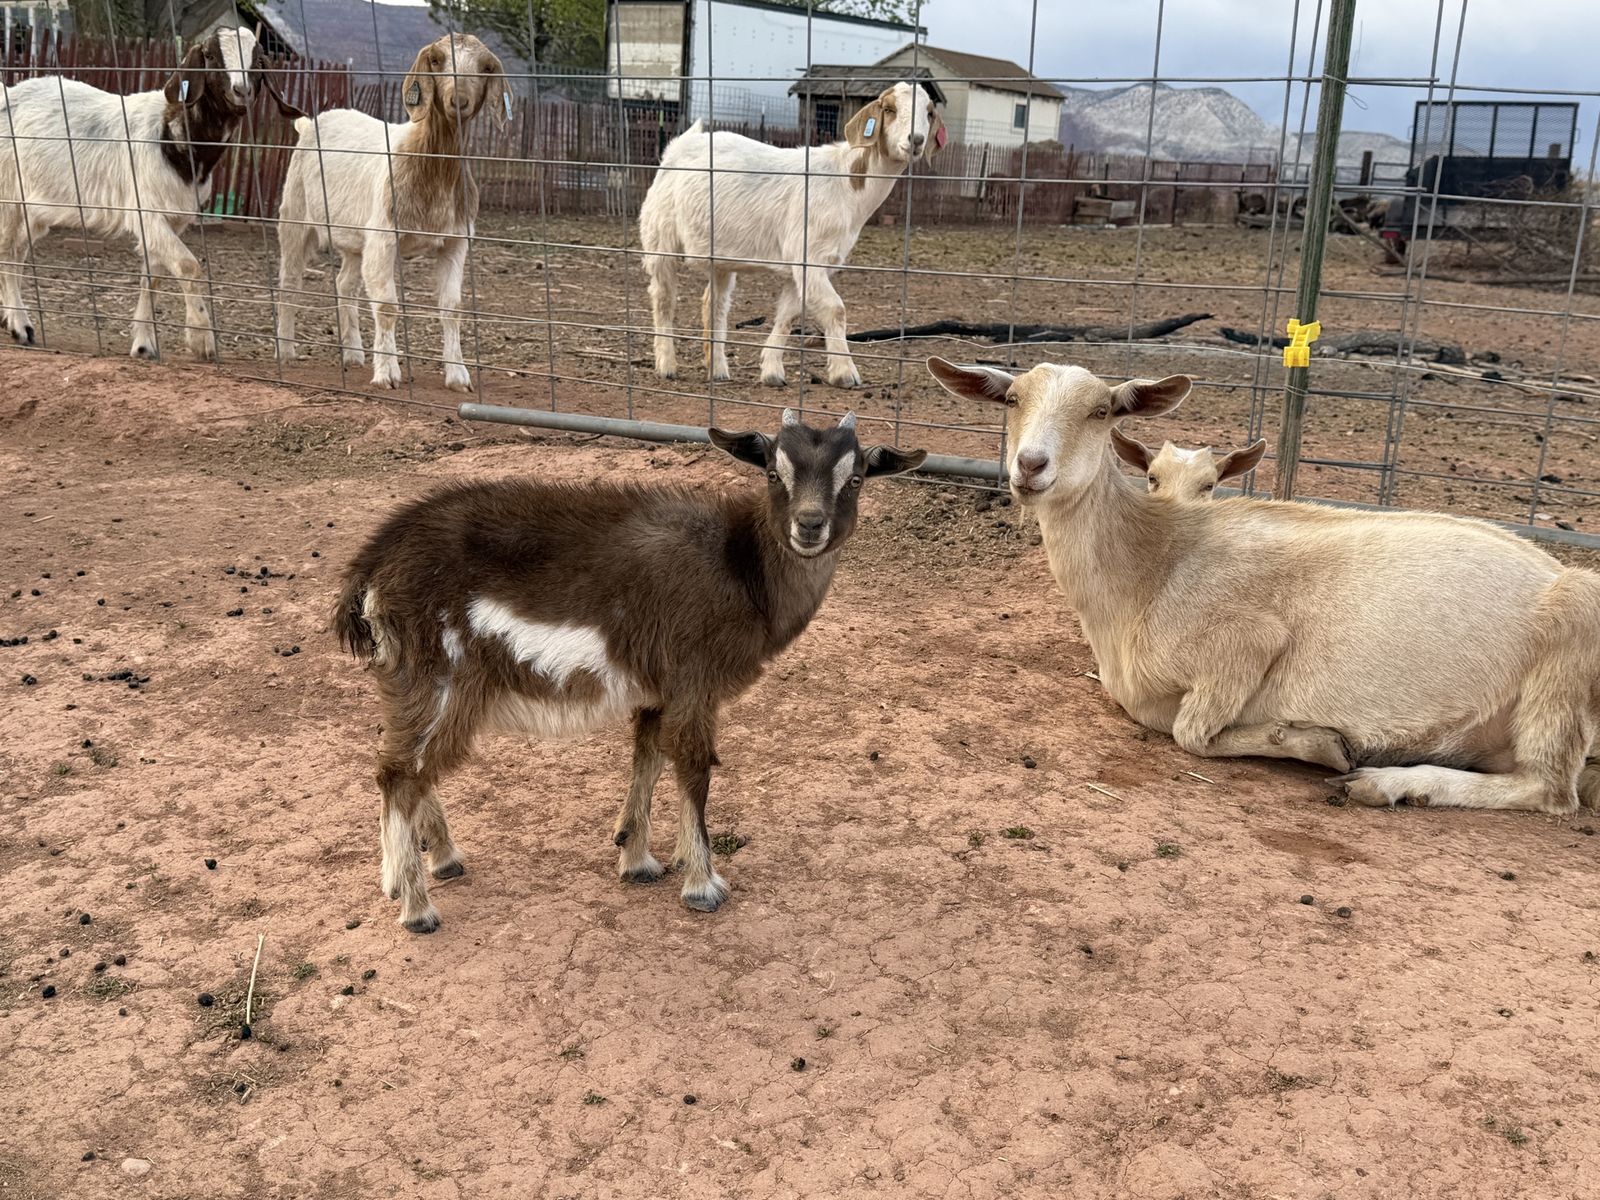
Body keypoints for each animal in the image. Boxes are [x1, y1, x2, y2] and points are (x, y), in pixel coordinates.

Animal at [1, 26, 278, 358]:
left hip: (34, 208)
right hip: (7, 196)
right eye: (210, 55)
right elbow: (189, 265)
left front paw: (145, 344)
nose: (241, 91)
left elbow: (153, 276)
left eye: (258, 59)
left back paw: (13, 320)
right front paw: (201, 338)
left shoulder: (171, 219)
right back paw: (20, 326)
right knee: (6, 252)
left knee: (17, 252)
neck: (172, 135)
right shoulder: (146, 212)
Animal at [275, 33, 506, 392]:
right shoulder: (383, 237)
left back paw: (353, 354)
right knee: (289, 281)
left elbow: (452, 308)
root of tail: (309, 122)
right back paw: (286, 350)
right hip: (295, 215)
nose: (458, 101)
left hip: (356, 237)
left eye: (485, 67)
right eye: (436, 60)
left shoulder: (455, 241)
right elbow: (386, 306)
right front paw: (387, 372)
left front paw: (458, 375)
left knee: (345, 283)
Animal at [333, 410, 926, 930]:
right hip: (442, 674)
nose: (809, 525)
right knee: (402, 772)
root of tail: (372, 562)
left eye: (855, 478)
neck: (743, 568)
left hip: (408, 680)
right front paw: (702, 884)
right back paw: (416, 907)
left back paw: (429, 865)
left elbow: (648, 756)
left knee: (400, 763)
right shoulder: (693, 677)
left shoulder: (657, 689)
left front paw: (637, 858)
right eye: (774, 473)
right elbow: (693, 767)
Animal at [638, 82, 944, 389]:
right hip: (660, 238)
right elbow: (835, 309)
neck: (846, 183)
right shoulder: (809, 255)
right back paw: (666, 364)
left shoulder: (803, 265)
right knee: (663, 298)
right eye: (890, 109)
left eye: (929, 112)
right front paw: (845, 373)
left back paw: (718, 368)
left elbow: (788, 314)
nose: (916, 140)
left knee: (715, 304)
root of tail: (678, 147)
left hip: (719, 255)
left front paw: (772, 370)